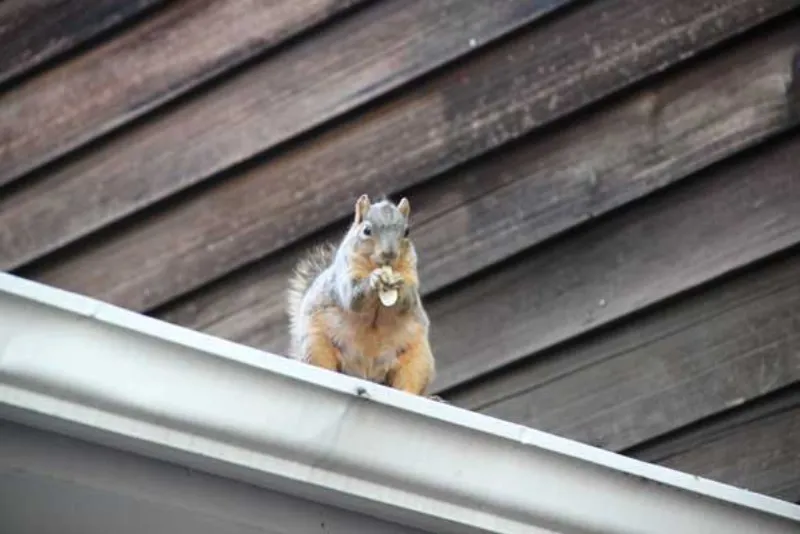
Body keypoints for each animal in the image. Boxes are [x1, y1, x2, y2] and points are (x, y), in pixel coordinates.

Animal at [286, 194, 435, 396]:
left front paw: (400, 286)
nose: (389, 254)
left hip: (418, 359)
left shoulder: (411, 272)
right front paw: (373, 280)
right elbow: (352, 297)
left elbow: (409, 298)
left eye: (407, 231)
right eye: (367, 230)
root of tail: (366, 374)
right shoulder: (346, 273)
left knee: (409, 384)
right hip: (315, 345)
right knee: (323, 365)